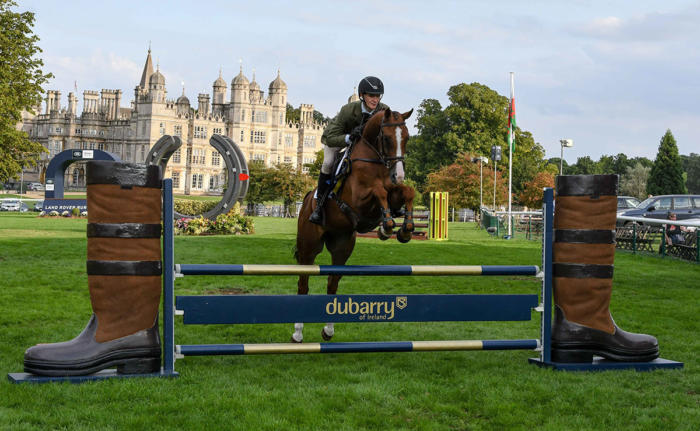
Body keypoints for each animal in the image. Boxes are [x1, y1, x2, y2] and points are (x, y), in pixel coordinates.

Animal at [292, 109, 412, 344]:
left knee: (332, 283)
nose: (399, 175)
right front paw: (387, 227)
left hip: (342, 247)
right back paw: (298, 333)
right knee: (303, 283)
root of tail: (307, 198)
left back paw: (328, 331)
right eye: (386, 138)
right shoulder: (358, 200)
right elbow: (379, 191)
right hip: (309, 247)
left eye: (407, 138)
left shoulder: (393, 192)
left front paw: (403, 228)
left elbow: (406, 192)